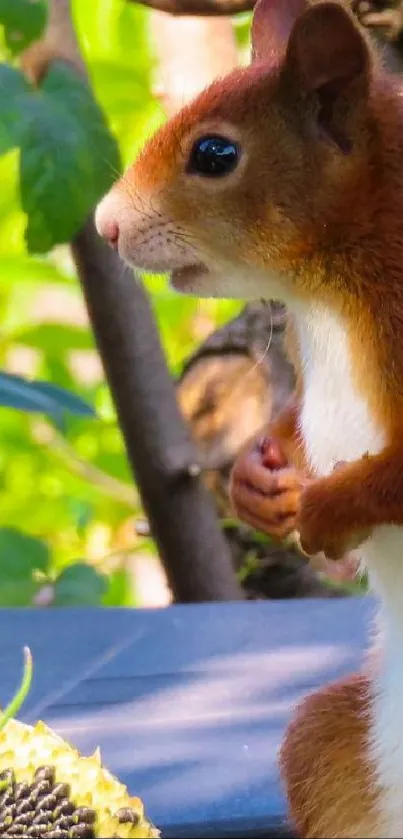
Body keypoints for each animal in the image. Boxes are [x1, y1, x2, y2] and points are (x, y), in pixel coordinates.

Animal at [95, 1, 403, 832]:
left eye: (213, 153)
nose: (103, 225)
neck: (325, 287)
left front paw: (328, 507)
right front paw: (258, 478)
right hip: (332, 743)